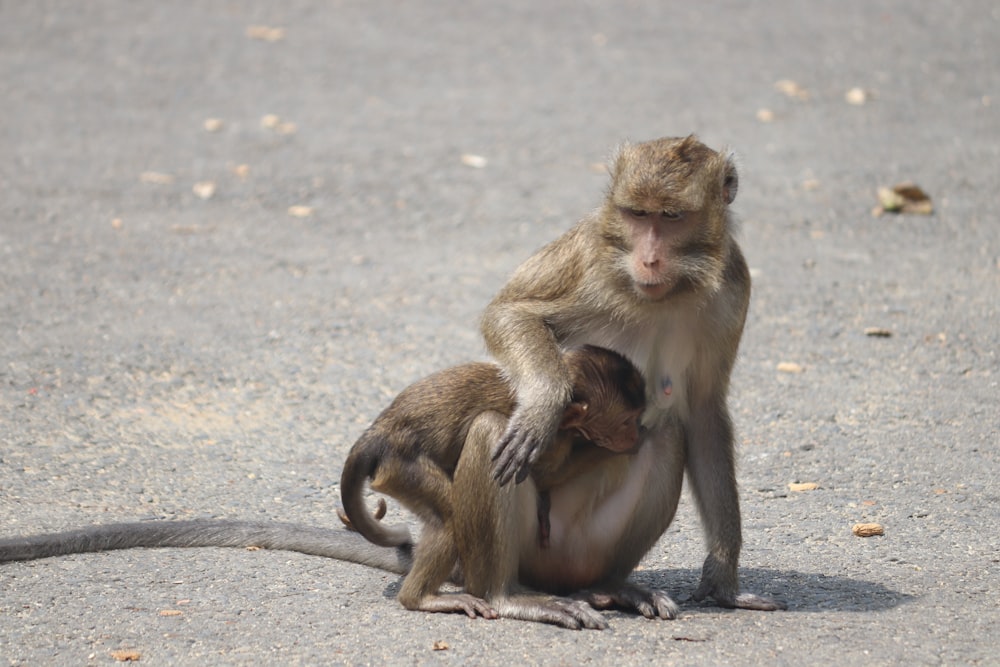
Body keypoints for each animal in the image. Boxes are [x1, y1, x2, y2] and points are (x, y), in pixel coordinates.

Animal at [340, 348, 644, 620]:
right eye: (627, 421)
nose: (635, 433)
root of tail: (379, 430)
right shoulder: (553, 436)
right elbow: (544, 473)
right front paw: (617, 446)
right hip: (401, 466)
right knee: (447, 519)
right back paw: (419, 598)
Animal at [480, 133, 784, 612]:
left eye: (672, 217)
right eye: (638, 214)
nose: (650, 260)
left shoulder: (734, 286)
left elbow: (703, 413)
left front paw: (723, 577)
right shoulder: (592, 258)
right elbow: (510, 313)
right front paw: (544, 406)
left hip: (586, 547)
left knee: (667, 434)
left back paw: (609, 586)